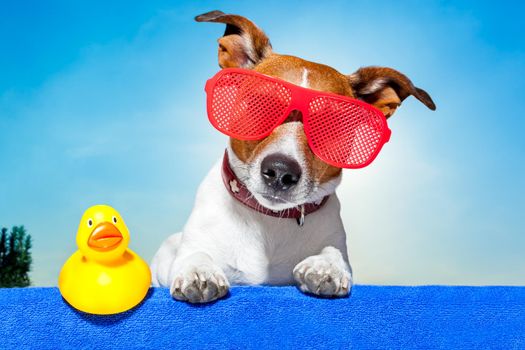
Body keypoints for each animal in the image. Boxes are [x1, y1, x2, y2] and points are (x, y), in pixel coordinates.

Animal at [148, 9, 434, 302]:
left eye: (330, 123)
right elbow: (195, 254)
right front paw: (198, 270)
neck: (269, 221)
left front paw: (326, 266)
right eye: (261, 104)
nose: (280, 171)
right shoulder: (189, 247)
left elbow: (334, 253)